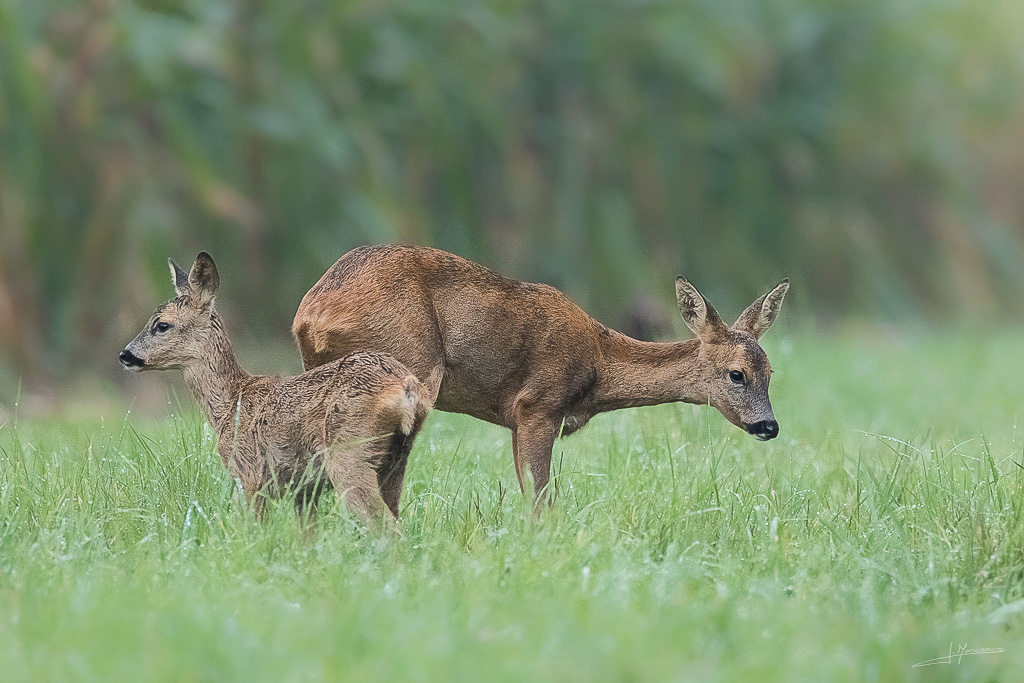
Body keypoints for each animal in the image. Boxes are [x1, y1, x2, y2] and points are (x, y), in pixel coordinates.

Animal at [118, 250, 432, 524]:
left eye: (162, 325)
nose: (125, 355)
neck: (230, 403)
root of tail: (407, 388)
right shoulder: (304, 490)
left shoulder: (248, 474)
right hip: (396, 458)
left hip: (349, 452)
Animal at [292, 246, 786, 501]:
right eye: (737, 374)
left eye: (770, 371)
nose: (769, 425)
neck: (598, 363)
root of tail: (311, 313)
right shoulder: (537, 405)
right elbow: (541, 496)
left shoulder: (516, 420)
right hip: (407, 367)